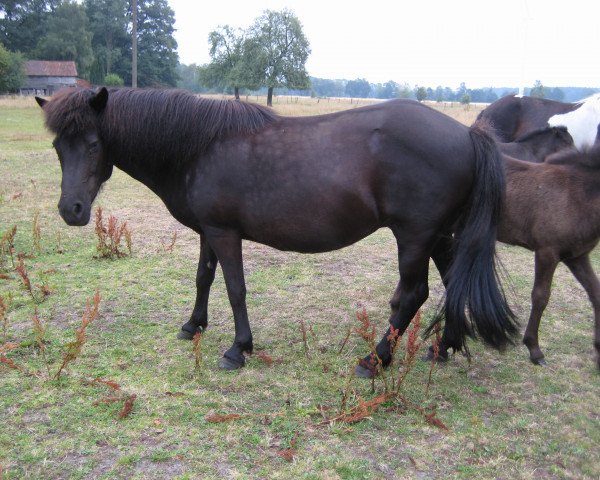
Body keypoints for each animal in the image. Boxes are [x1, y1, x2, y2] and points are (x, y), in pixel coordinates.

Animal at [36, 89, 516, 376]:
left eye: (93, 144)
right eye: (58, 146)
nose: (71, 210)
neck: (199, 146)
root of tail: (469, 135)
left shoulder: (225, 233)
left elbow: (235, 288)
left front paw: (238, 349)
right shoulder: (207, 231)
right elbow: (203, 278)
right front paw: (193, 325)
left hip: (414, 238)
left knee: (413, 295)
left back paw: (374, 359)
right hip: (439, 237)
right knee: (453, 283)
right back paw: (444, 347)